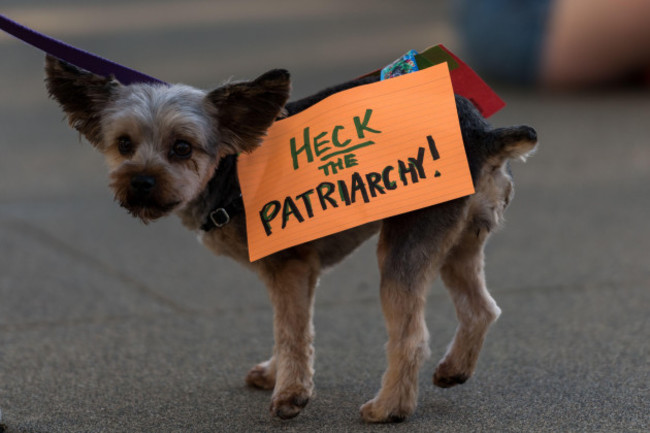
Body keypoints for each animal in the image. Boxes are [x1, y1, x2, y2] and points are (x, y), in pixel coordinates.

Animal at [43, 54, 536, 422]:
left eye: (182, 148)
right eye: (124, 144)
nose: (141, 183)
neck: (230, 167)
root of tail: (483, 133)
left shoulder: (288, 267)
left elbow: (292, 331)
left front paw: (290, 395)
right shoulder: (295, 270)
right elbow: (292, 328)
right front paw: (278, 375)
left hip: (403, 248)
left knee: (411, 337)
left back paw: (388, 408)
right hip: (457, 243)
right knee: (481, 309)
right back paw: (454, 369)